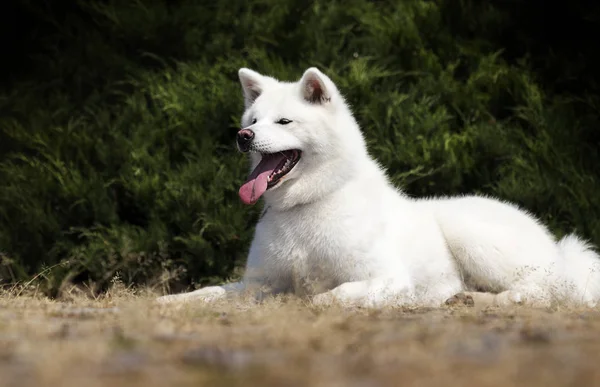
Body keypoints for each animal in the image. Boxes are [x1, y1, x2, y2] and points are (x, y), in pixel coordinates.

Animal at [158, 67, 600, 310]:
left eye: (284, 122)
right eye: (252, 119)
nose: (243, 136)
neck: (309, 204)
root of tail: (559, 249)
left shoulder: (387, 277)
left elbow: (328, 296)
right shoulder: (255, 285)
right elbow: (209, 292)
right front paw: (168, 302)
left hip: (467, 231)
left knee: (542, 290)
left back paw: (492, 299)